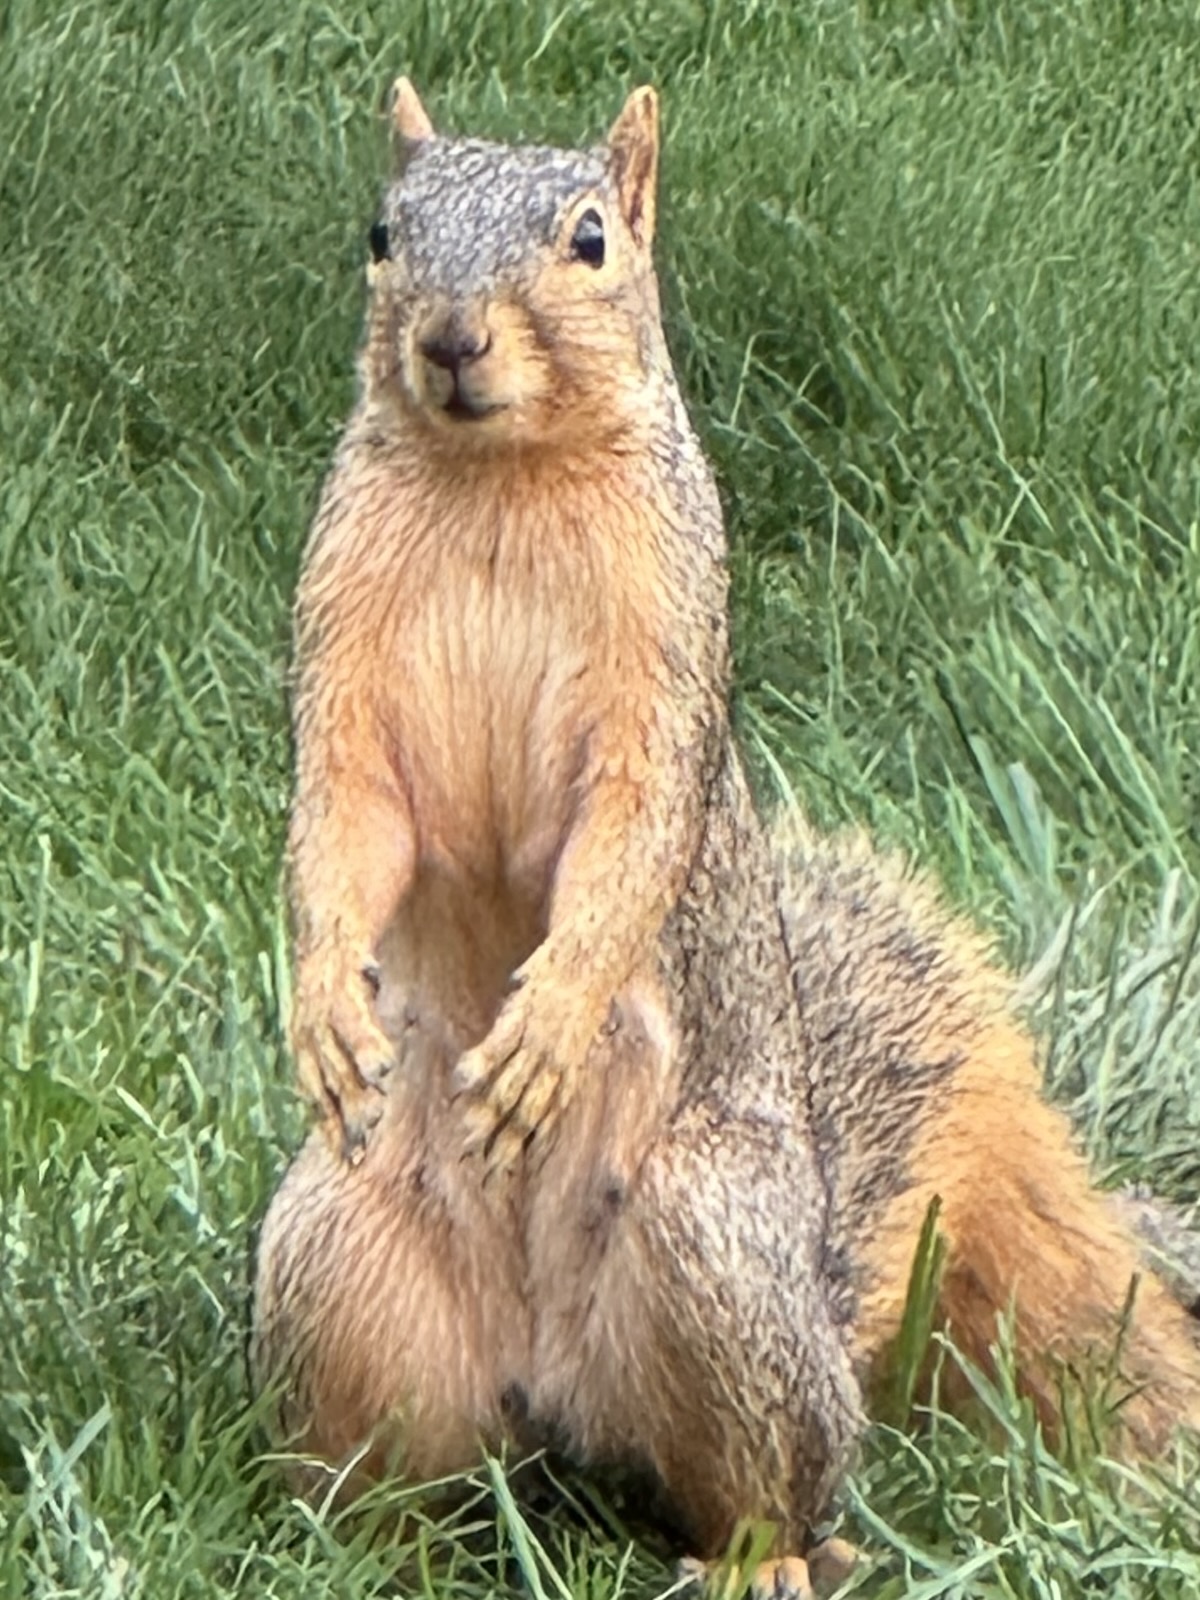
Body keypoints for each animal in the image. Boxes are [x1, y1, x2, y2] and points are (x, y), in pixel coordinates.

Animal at [252, 81, 1200, 1599]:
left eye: (589, 238)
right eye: (383, 233)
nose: (449, 340)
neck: (496, 482)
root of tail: (557, 1392)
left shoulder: (667, 672)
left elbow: (630, 839)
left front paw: (548, 1023)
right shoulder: (340, 662)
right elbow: (343, 825)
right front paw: (325, 1005)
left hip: (715, 1248)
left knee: (775, 1495)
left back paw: (760, 1557)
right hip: (338, 1251)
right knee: (395, 1475)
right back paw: (343, 1548)